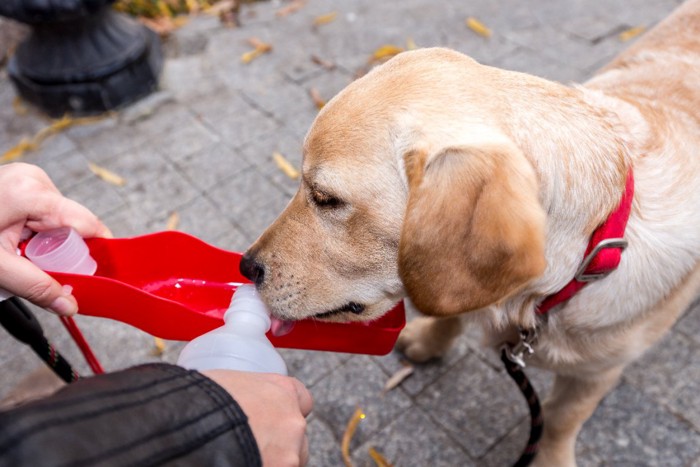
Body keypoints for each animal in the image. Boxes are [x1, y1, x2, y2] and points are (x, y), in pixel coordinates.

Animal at [239, 1, 700, 466]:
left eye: (326, 198)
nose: (247, 267)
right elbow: (451, 311)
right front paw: (429, 340)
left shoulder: (596, 374)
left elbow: (559, 420)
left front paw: (551, 457)